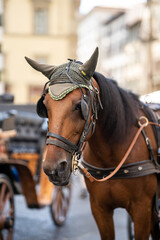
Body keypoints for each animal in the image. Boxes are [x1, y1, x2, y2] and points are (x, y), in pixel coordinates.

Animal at [25, 47, 160, 239]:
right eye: (45, 106)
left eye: (78, 106)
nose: (54, 168)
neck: (111, 157)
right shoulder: (99, 209)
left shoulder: (142, 210)